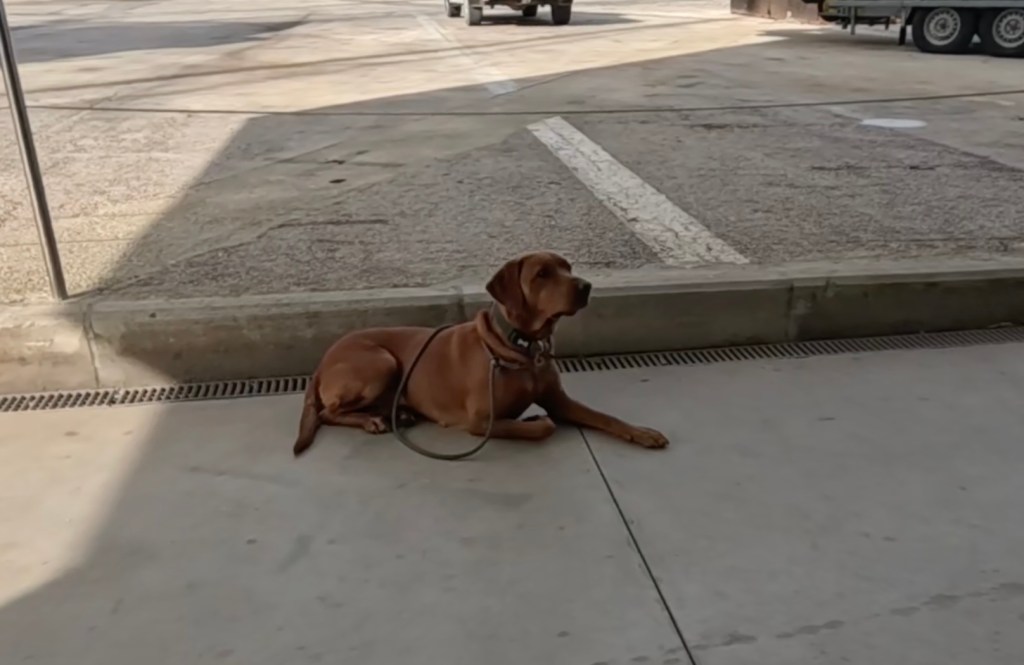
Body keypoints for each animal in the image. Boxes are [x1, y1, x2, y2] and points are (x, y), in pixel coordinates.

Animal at [293, 251, 668, 455]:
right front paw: (534, 420)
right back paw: (372, 419)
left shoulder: (559, 399)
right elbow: (542, 427)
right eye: (542, 274)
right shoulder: (478, 421)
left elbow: (605, 417)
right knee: (328, 412)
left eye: (568, 267)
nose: (586, 286)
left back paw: (398, 414)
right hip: (381, 362)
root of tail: (323, 361)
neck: (523, 348)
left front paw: (642, 432)